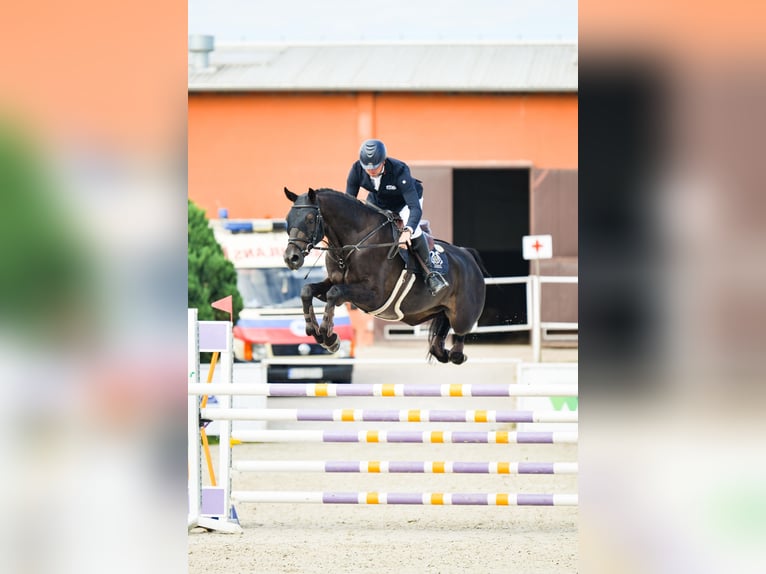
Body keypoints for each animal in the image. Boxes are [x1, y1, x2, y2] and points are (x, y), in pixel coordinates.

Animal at [280, 187, 486, 364]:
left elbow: (334, 293)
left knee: (458, 339)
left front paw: (329, 337)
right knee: (440, 341)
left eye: (309, 219)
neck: (353, 244)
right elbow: (308, 290)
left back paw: (457, 353)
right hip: (439, 310)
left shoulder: (374, 295)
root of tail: (467, 255)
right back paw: (443, 351)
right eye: (288, 218)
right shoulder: (334, 283)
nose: (292, 258)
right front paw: (315, 332)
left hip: (462, 315)